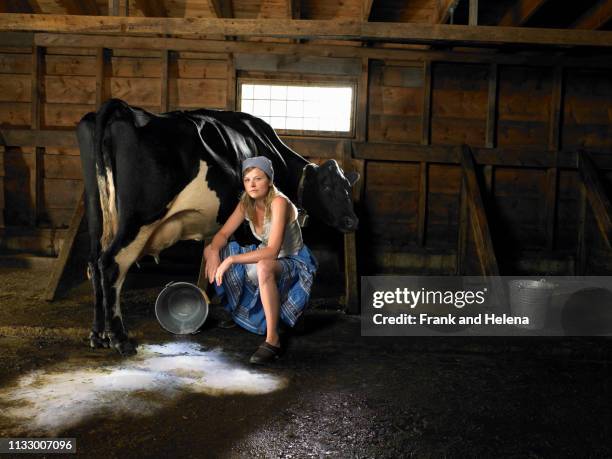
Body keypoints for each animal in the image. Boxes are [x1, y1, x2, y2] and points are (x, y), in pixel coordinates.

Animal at [76, 97, 358, 356]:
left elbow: (214, 261)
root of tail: (121, 109)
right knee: (111, 264)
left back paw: (98, 335)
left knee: (93, 264)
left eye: (348, 187)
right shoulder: (244, 229)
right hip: (139, 219)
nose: (352, 221)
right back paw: (120, 339)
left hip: (96, 214)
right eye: (327, 186)